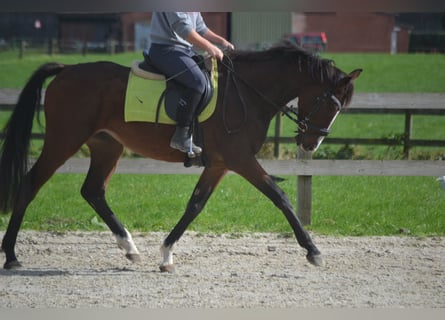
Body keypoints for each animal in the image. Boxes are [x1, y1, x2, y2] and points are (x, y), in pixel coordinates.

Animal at [0, 44, 360, 270]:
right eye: (331, 105)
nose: (312, 143)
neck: (247, 93)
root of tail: (67, 69)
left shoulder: (219, 164)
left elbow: (195, 205)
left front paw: (166, 254)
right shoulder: (240, 160)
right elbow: (280, 197)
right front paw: (313, 251)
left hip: (107, 146)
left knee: (93, 191)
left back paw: (129, 248)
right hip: (64, 140)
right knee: (30, 184)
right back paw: (11, 255)